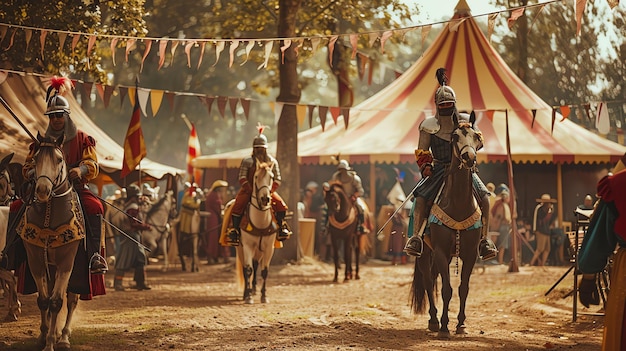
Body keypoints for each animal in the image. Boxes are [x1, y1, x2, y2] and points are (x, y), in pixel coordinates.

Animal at [17, 134, 84, 350]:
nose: (42, 190)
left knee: (71, 300)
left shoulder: (66, 262)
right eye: (35, 159)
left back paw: (63, 336)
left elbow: (56, 302)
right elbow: (43, 300)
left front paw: (52, 343)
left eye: (59, 159)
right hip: (51, 267)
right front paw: (43, 337)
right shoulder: (36, 261)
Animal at [234, 161, 276, 304]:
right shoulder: (247, 246)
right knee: (245, 267)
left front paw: (264, 296)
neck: (260, 222)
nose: (265, 199)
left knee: (256, 264)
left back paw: (253, 289)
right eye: (256, 176)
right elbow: (248, 270)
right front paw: (248, 297)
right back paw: (246, 293)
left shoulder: (269, 248)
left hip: (259, 250)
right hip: (240, 248)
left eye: (272, 177)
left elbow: (264, 271)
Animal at [410, 113, 482, 338]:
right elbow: (446, 289)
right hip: (425, 254)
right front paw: (443, 326)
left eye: (476, 137)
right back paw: (433, 320)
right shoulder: (440, 251)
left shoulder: (470, 254)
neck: (457, 202)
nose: (469, 158)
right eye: (455, 137)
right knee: (427, 281)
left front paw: (461, 324)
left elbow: (463, 288)